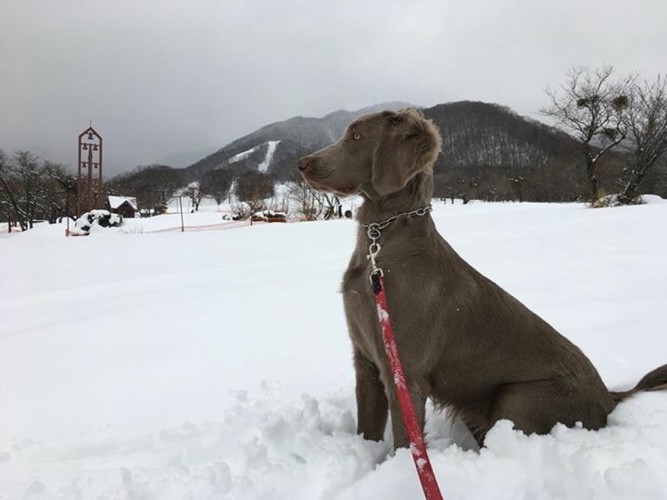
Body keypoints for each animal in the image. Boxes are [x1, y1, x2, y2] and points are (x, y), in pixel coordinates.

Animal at [300, 108, 667, 450]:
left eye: (357, 137)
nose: (302, 163)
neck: (381, 244)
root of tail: (609, 396)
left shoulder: (405, 372)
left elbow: (407, 443)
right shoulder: (365, 361)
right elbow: (368, 431)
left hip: (518, 398)